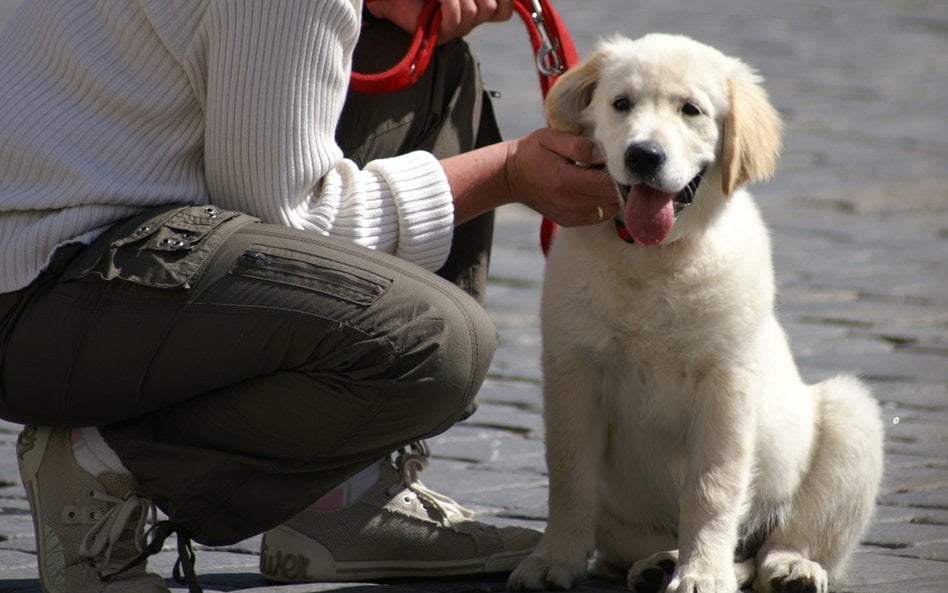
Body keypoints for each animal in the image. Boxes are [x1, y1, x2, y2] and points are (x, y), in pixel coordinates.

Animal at [508, 33, 884, 592]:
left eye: (691, 110)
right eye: (621, 103)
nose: (644, 155)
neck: (654, 258)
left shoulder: (725, 381)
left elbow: (711, 487)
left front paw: (702, 573)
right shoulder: (573, 369)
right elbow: (569, 475)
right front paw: (553, 559)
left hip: (851, 418)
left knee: (777, 544)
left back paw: (788, 567)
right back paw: (657, 563)